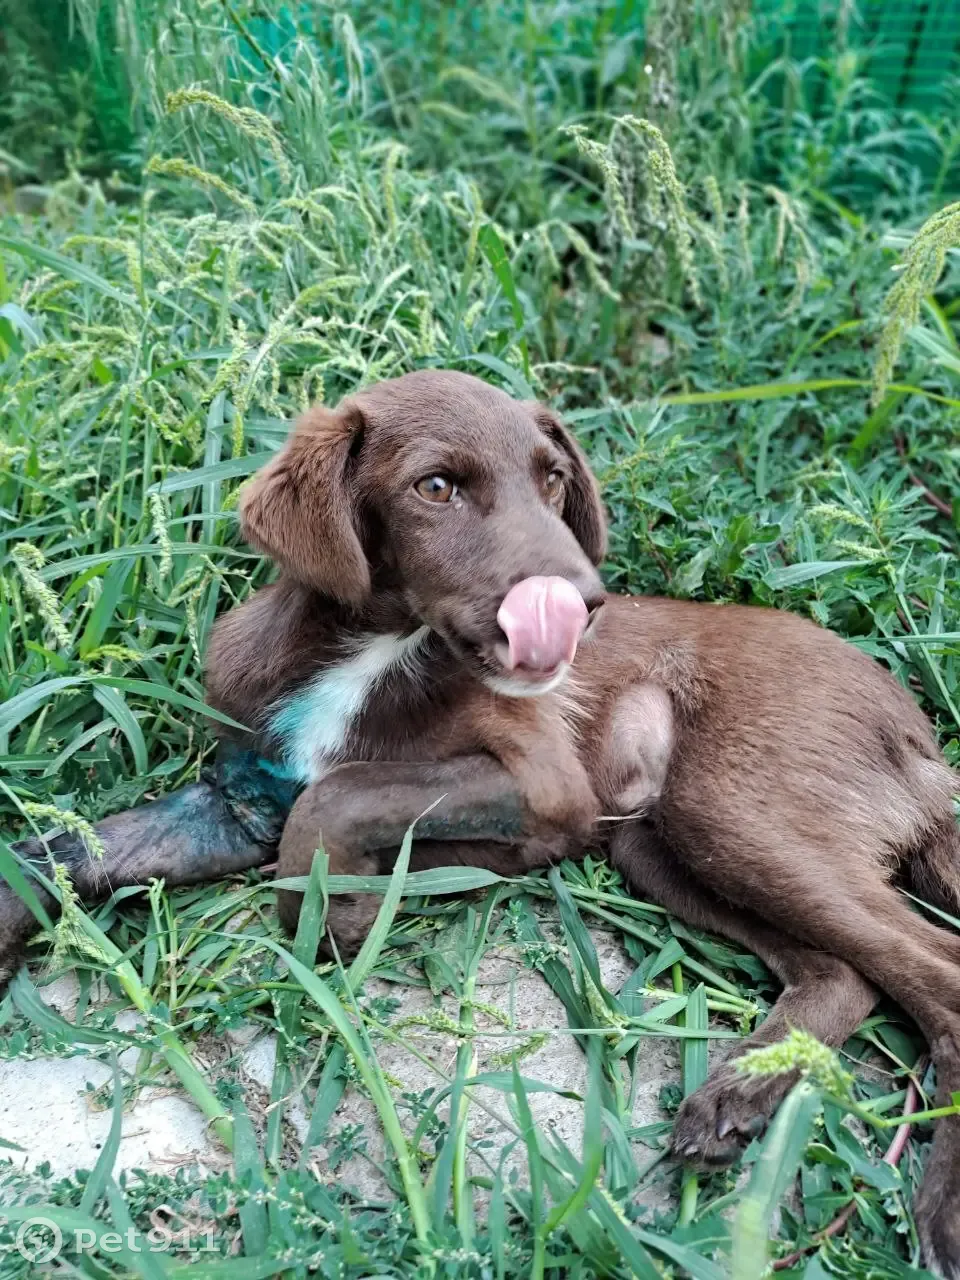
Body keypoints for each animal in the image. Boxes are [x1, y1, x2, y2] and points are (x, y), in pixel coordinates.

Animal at [3, 371, 957, 1269]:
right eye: (435, 487)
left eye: (553, 480)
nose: (584, 604)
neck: (371, 655)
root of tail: (920, 736)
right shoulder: (238, 795)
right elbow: (55, 852)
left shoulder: (546, 783)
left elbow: (343, 791)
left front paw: (338, 910)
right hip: (660, 844)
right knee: (845, 975)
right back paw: (739, 1098)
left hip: (730, 812)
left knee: (933, 971)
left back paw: (937, 1201)